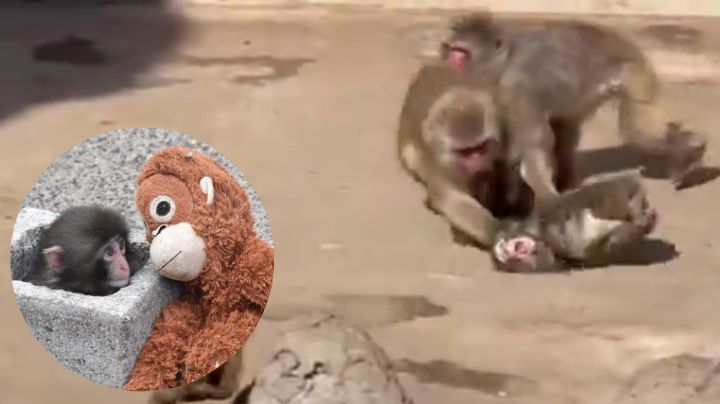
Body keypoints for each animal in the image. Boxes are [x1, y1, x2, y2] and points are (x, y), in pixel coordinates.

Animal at [440, 12, 708, 204]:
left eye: (462, 52)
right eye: (453, 50)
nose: (450, 60)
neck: (506, 57)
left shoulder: (520, 86)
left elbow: (536, 144)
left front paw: (546, 194)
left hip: (632, 71)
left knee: (634, 122)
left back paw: (692, 146)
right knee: (569, 129)